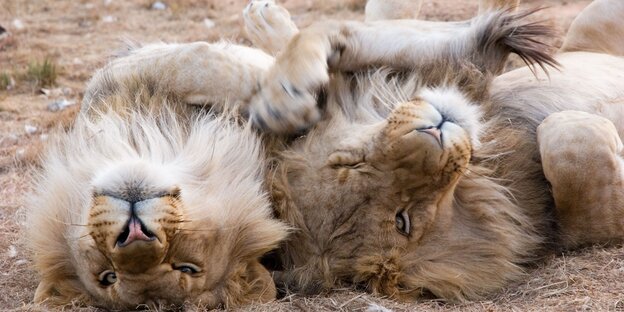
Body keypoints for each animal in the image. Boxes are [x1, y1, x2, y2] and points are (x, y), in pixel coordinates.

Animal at [241, 0, 624, 302]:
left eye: (350, 163)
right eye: (403, 221)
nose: (435, 131)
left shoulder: (465, 57)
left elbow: (329, 31)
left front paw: (282, 99)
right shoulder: (560, 226)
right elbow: (567, 143)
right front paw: (585, 125)